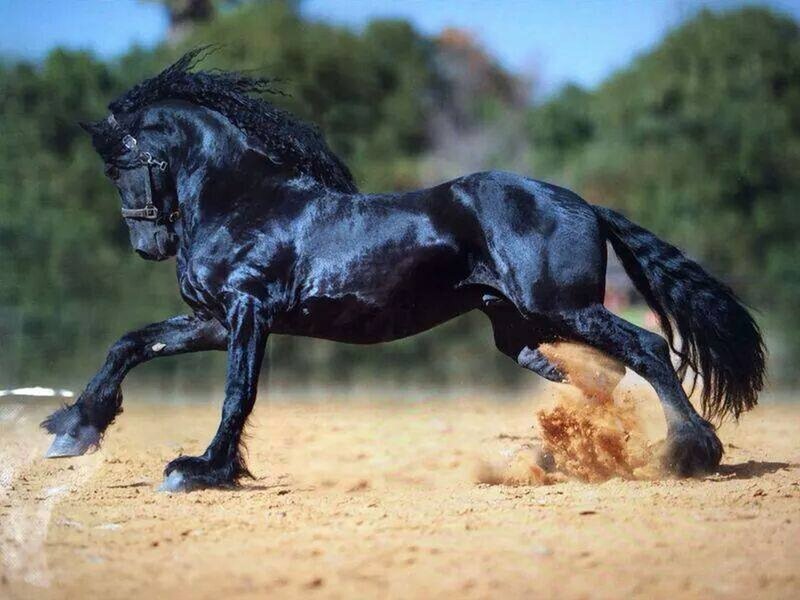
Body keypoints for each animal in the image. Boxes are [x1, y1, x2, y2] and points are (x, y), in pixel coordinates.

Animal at [42, 50, 765, 492]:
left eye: (124, 162)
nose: (150, 244)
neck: (245, 199)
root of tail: (584, 203)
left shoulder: (248, 314)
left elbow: (236, 393)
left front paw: (198, 469)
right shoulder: (212, 321)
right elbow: (130, 344)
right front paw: (73, 431)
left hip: (561, 308)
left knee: (646, 351)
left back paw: (689, 453)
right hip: (524, 332)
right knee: (601, 376)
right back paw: (560, 459)